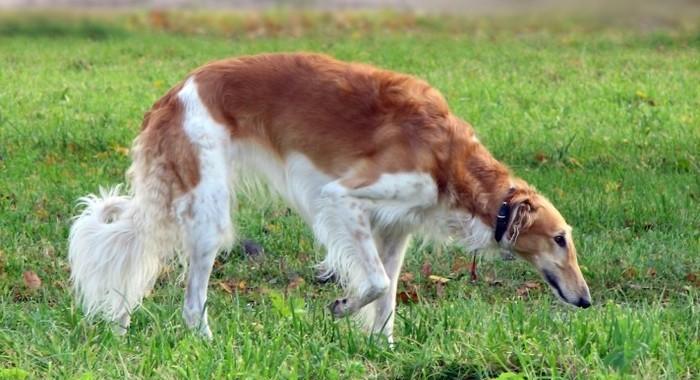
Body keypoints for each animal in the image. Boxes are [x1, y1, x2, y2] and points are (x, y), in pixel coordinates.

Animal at [68, 52, 592, 342]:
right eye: (561, 239)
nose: (586, 301)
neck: (449, 160)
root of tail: (173, 93)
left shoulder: (395, 228)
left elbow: (388, 297)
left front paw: (382, 348)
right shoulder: (341, 199)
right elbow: (375, 284)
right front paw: (341, 307)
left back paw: (122, 330)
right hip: (209, 217)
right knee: (191, 305)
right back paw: (207, 345)